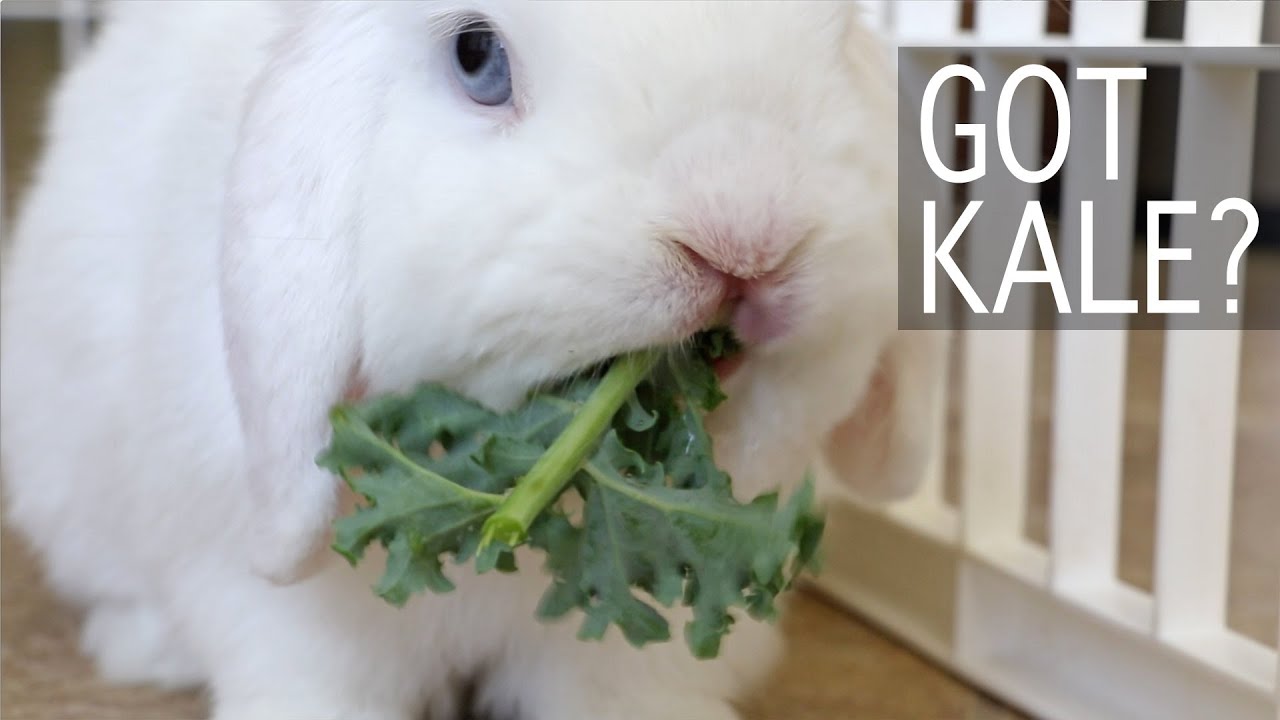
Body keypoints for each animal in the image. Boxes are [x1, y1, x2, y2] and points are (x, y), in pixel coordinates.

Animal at [0, 1, 947, 719]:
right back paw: (139, 648)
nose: (744, 235)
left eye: (836, 38)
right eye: (477, 56)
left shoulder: (629, 655)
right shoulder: (296, 620)